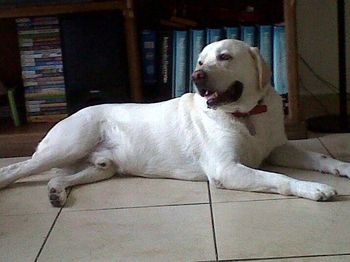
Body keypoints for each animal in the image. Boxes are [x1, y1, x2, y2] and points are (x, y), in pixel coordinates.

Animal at [0, 39, 350, 207]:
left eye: (224, 57)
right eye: (200, 61)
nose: (196, 75)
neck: (247, 115)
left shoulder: (278, 148)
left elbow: (320, 157)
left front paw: (343, 167)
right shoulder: (226, 169)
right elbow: (280, 178)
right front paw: (314, 188)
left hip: (102, 167)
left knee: (59, 177)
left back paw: (56, 192)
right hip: (66, 146)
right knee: (17, 168)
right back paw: (8, 181)